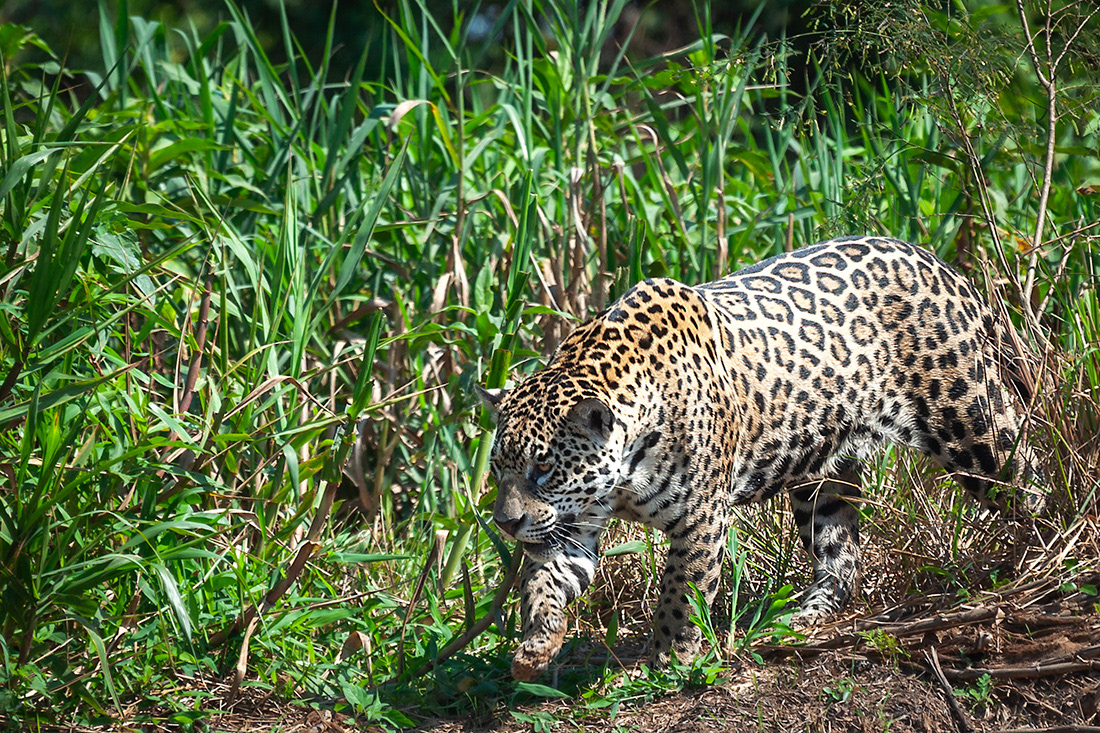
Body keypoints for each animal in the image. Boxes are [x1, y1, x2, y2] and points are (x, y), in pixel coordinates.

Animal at [476, 235, 1044, 681]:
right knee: (842, 557)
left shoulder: (700, 517)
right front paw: (536, 646)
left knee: (1026, 481)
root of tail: (939, 263)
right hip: (822, 475)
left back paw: (1044, 554)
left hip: (974, 425)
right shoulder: (572, 523)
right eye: (499, 469)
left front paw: (667, 660)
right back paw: (800, 617)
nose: (505, 523)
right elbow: (543, 582)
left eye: (543, 469)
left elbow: (681, 593)